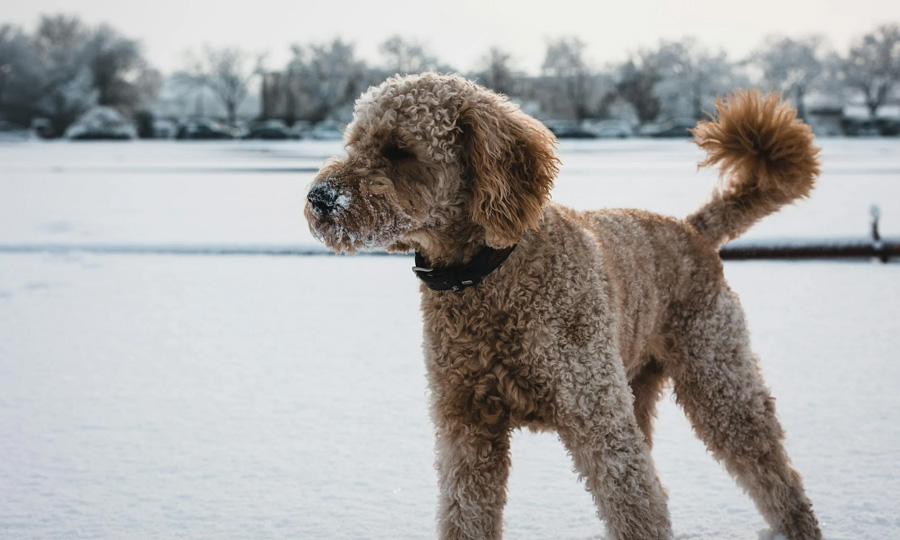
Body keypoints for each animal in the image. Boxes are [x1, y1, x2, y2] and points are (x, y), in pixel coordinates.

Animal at [308, 73, 824, 540]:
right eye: (353, 143)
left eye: (399, 151)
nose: (319, 197)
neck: (492, 274)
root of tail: (692, 228)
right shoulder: (466, 424)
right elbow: (466, 515)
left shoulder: (594, 416)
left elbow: (634, 511)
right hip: (633, 388)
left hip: (717, 376)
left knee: (772, 474)